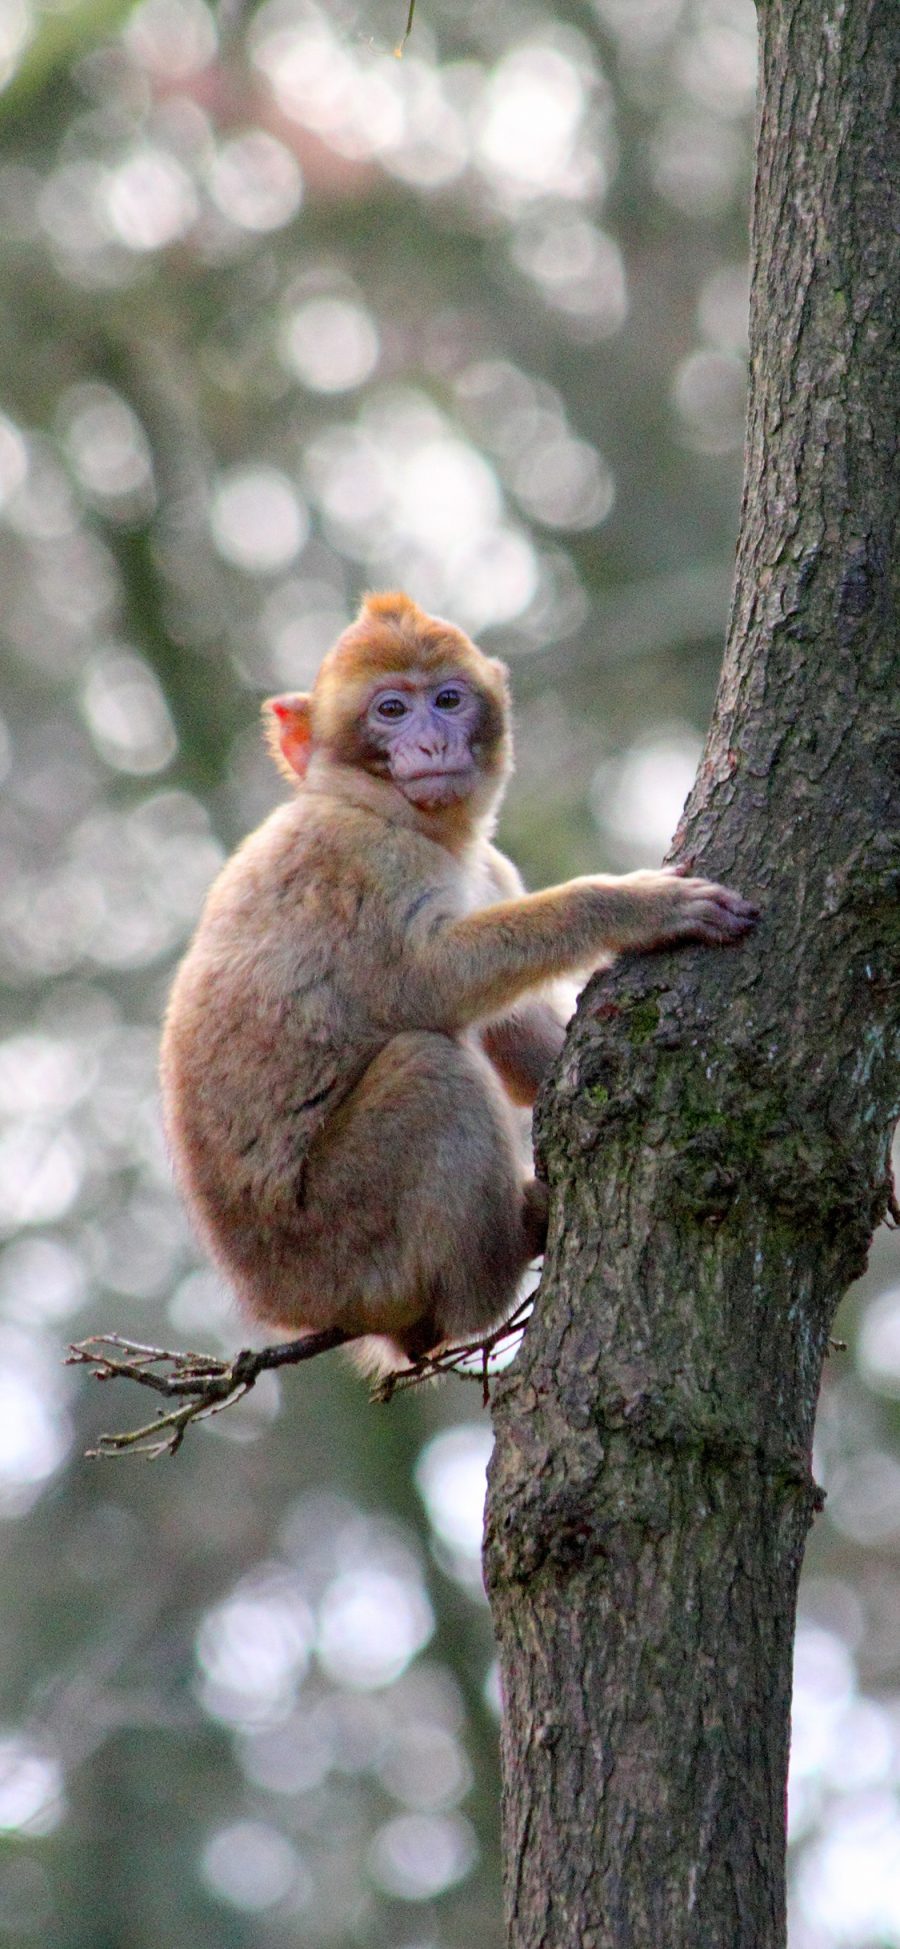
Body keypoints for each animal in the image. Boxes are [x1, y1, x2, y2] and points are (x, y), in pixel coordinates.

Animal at [157, 592, 755, 1372]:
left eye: (447, 699)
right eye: (390, 709)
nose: (433, 742)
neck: (402, 819)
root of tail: (280, 1303)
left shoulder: (491, 868)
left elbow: (516, 1037)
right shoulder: (359, 861)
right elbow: (425, 987)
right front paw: (630, 906)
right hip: (340, 1239)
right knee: (429, 1064)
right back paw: (503, 1257)